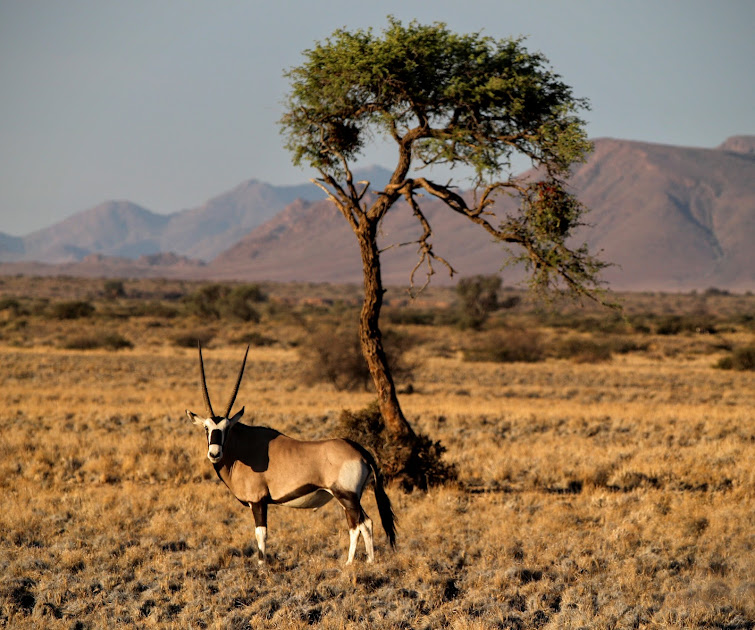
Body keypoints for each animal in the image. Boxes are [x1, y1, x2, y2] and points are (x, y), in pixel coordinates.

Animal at [185, 348, 396, 564]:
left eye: (227, 428)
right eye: (206, 427)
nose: (214, 453)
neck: (241, 447)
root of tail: (360, 451)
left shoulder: (258, 501)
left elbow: (261, 534)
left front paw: (261, 564)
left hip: (346, 496)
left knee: (357, 525)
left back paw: (349, 563)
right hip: (352, 498)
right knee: (366, 523)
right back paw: (369, 561)